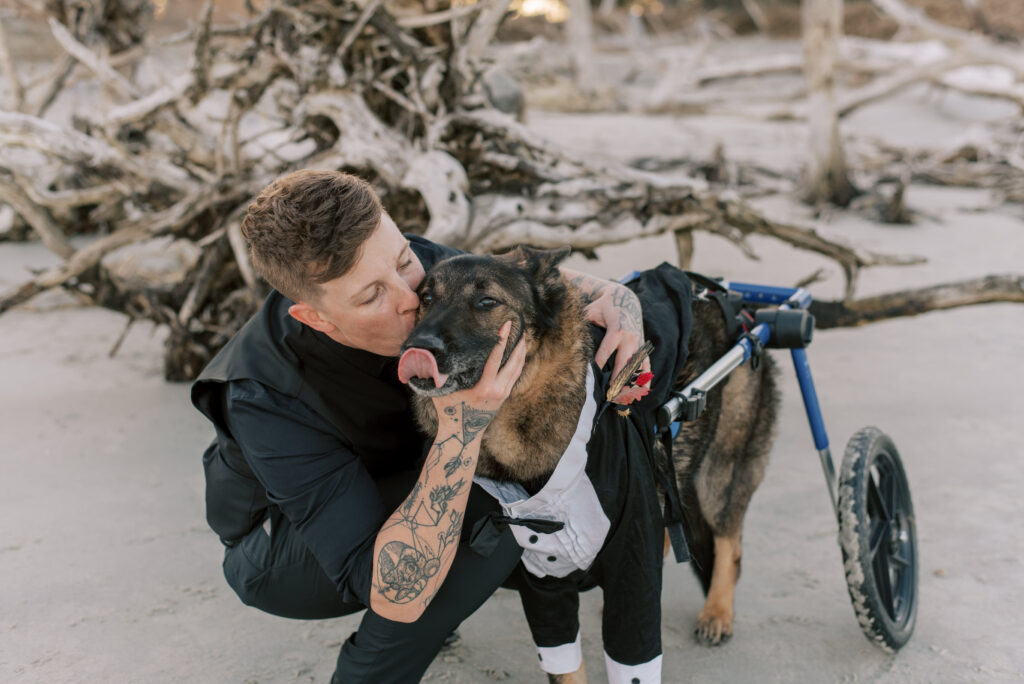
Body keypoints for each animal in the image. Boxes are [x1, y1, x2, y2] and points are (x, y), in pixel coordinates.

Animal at [397, 245, 774, 679]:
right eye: (426, 298)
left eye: (487, 302)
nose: (415, 347)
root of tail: (732, 301)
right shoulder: (542, 575)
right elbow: (565, 665)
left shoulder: (632, 558)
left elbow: (634, 653)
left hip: (719, 475)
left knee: (730, 543)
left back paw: (718, 613)